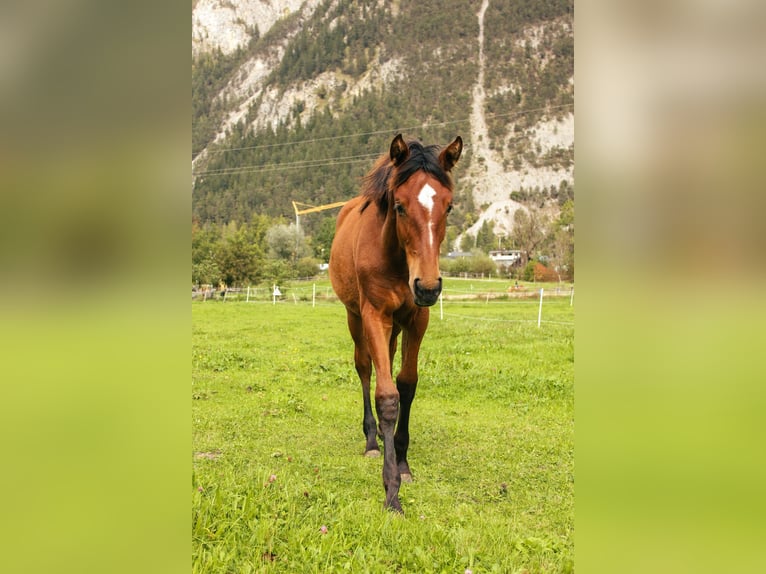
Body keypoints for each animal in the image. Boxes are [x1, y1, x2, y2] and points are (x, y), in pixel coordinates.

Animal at [329, 133, 463, 513]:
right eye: (400, 206)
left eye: (448, 207)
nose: (428, 286)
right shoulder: (374, 314)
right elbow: (387, 397)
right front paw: (391, 490)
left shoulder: (418, 318)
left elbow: (407, 385)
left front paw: (403, 463)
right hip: (355, 317)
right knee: (364, 368)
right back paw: (372, 441)